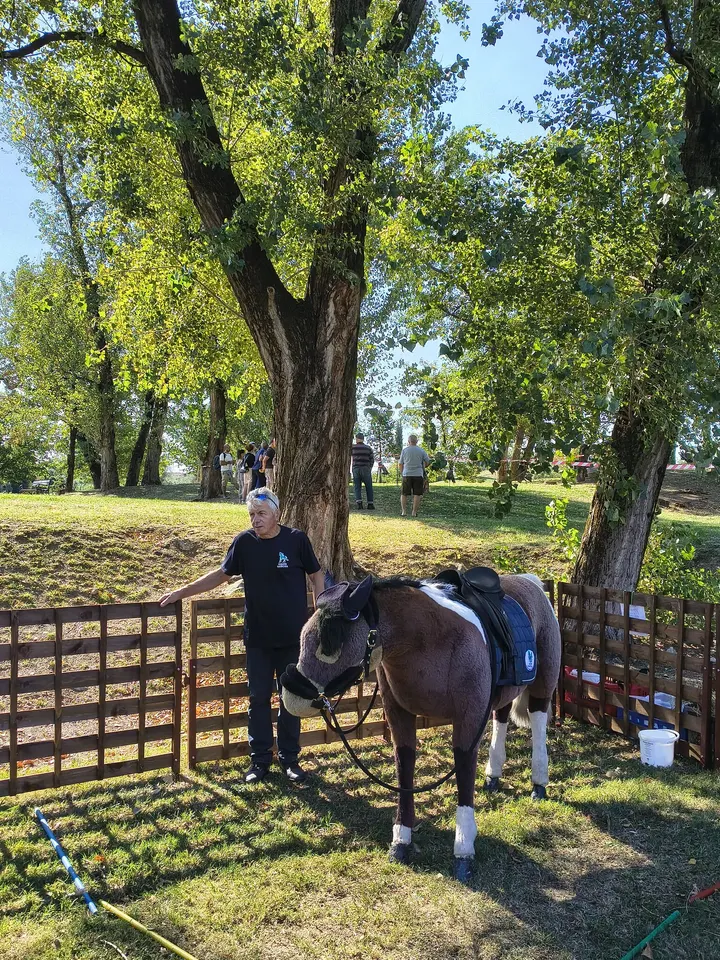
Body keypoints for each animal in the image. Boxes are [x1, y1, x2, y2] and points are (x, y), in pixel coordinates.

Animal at [280, 572, 561, 882]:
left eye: (329, 644)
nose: (291, 696)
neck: (429, 640)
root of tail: (531, 581)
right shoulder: (399, 714)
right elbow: (404, 765)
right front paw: (401, 840)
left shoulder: (469, 718)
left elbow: (463, 767)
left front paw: (463, 848)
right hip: (505, 690)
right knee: (501, 717)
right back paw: (493, 775)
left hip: (544, 681)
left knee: (538, 720)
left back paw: (539, 782)